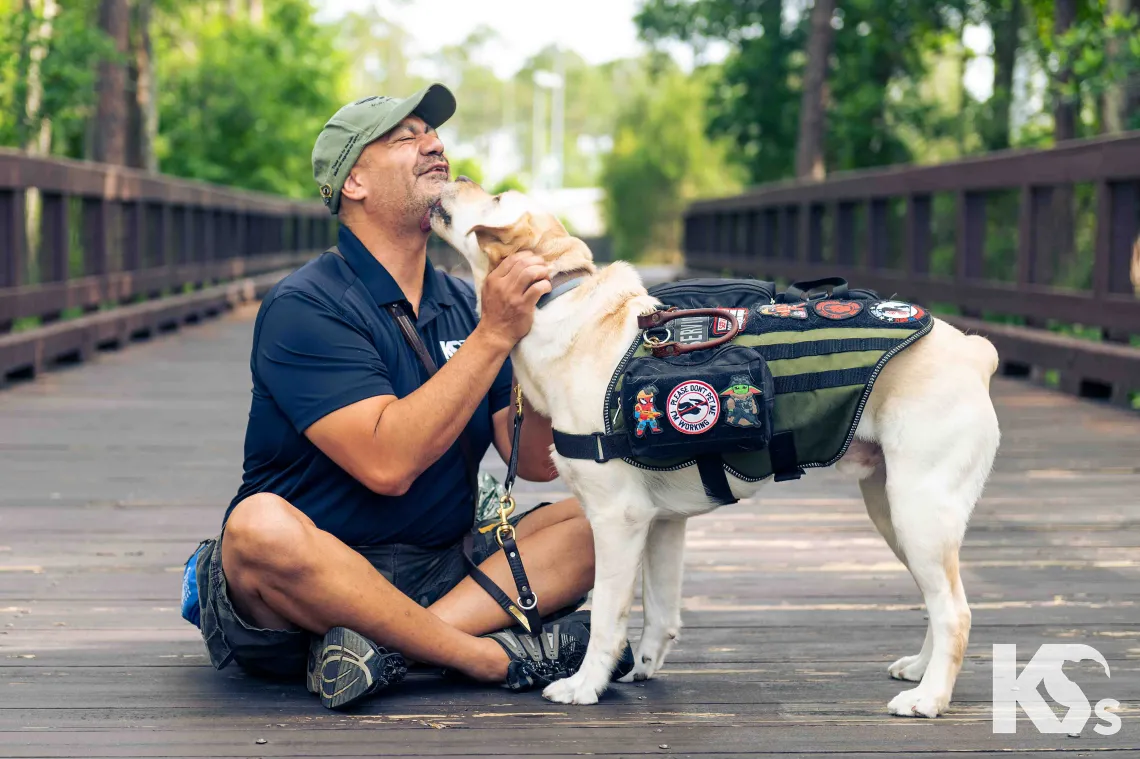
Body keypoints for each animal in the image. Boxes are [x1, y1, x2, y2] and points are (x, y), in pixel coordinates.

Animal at [430, 177, 1003, 715]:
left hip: (917, 510)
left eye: (496, 197)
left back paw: (929, 699)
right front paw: (642, 667)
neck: (561, 303)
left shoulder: (617, 518)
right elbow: (660, 610)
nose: (453, 176)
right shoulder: (661, 522)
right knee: (938, 600)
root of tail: (973, 350)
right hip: (893, 511)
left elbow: (610, 614)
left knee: (955, 610)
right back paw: (921, 671)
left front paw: (585, 685)